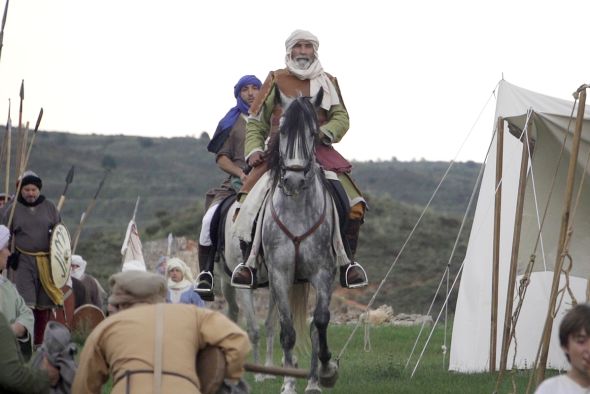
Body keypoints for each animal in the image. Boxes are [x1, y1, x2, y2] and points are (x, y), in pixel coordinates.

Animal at [262, 93, 340, 394]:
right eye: (282, 130)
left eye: (313, 133)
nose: (294, 179)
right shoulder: (280, 275)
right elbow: (287, 331)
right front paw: (287, 384)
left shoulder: (323, 272)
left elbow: (319, 323)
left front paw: (324, 373)